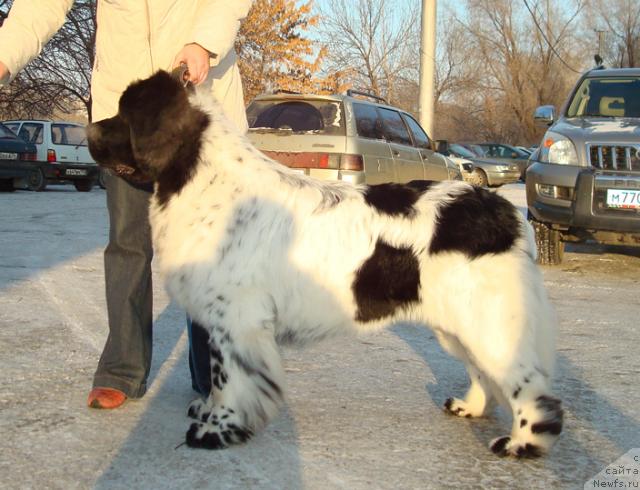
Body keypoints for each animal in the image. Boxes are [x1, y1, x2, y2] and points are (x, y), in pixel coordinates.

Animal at [87, 71, 564, 458]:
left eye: (125, 114)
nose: (88, 129)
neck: (204, 178)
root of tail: (501, 210)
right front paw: (207, 413)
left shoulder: (237, 320)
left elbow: (230, 380)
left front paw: (216, 430)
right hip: (458, 323)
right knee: (484, 373)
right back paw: (470, 407)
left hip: (488, 320)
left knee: (529, 385)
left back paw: (521, 443)